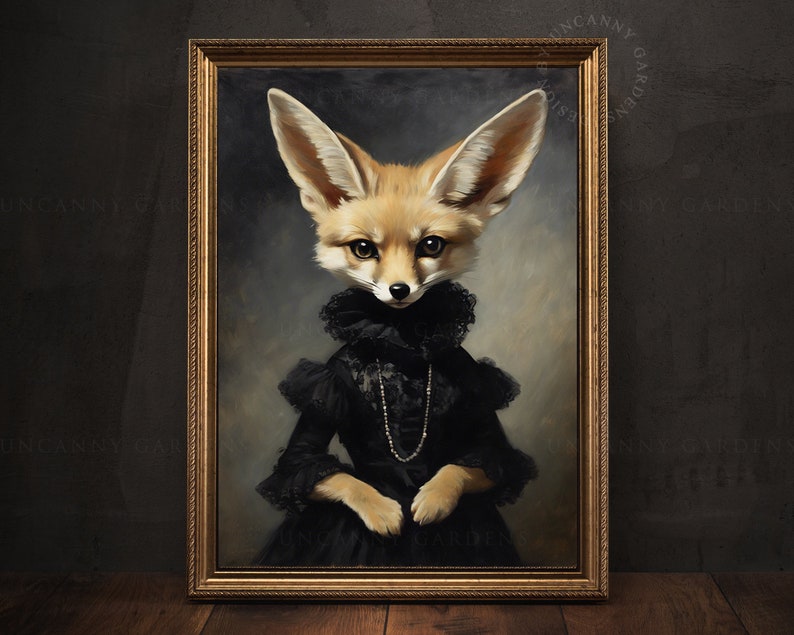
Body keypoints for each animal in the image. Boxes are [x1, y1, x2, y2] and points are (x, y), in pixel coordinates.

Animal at [265, 87, 547, 544]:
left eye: (430, 245)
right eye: (363, 249)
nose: (400, 291)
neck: (402, 345)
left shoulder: (474, 385)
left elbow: (472, 462)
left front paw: (433, 499)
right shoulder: (328, 380)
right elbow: (316, 468)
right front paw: (382, 509)